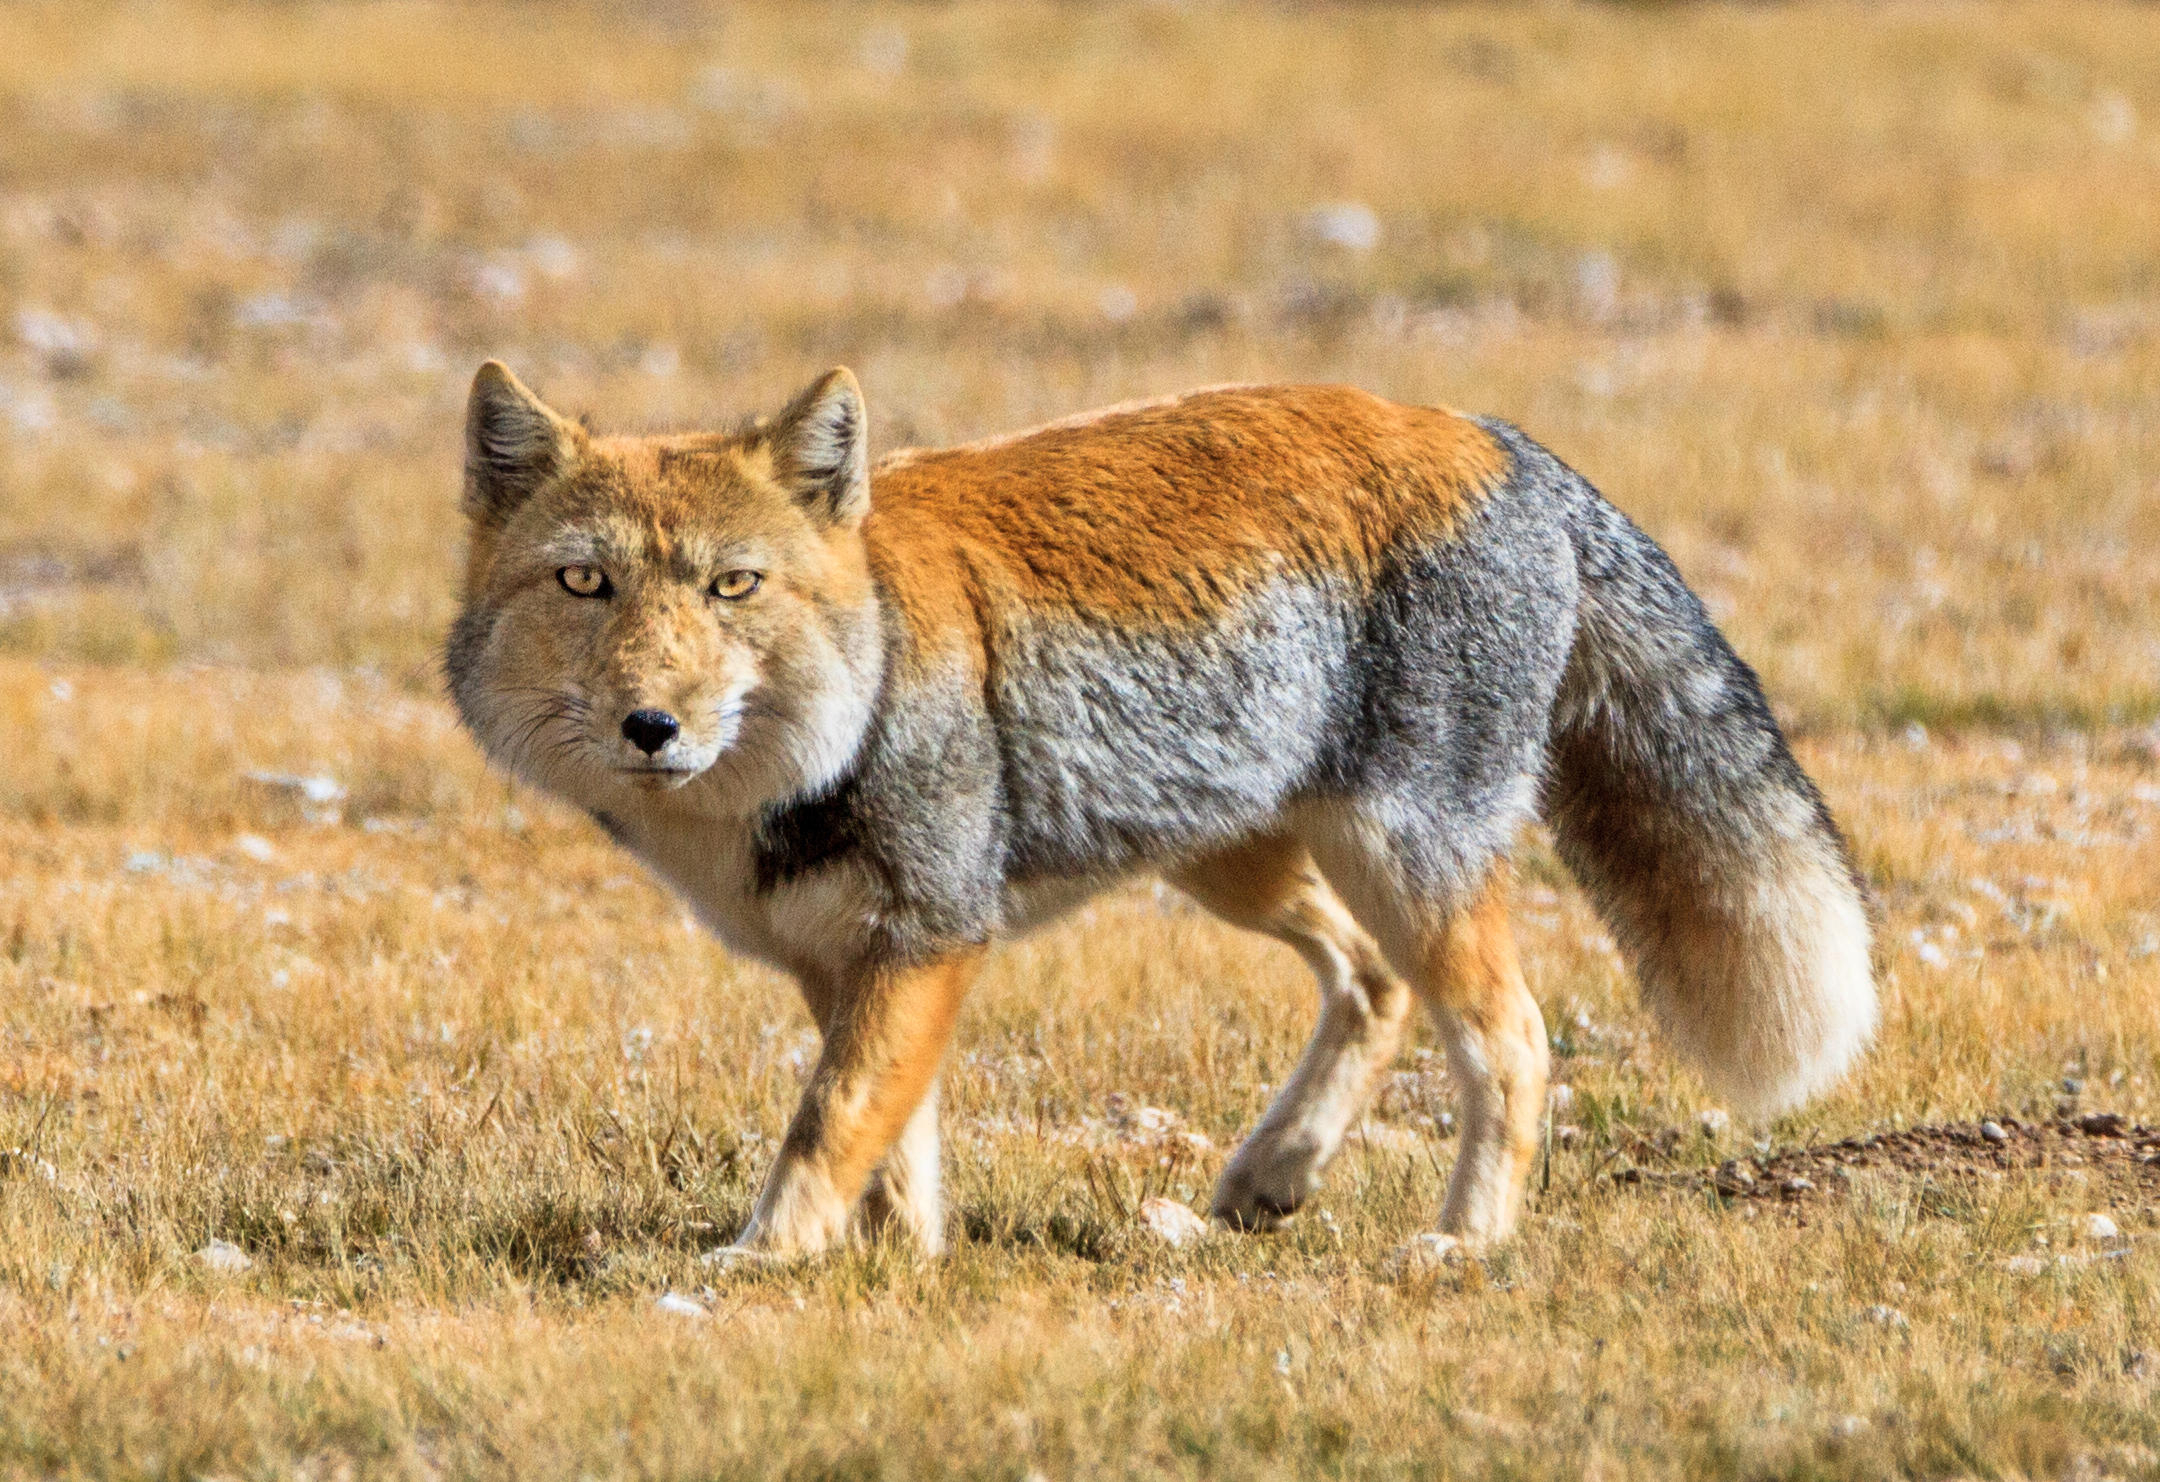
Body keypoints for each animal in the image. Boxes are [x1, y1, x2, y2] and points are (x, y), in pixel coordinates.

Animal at [446, 361, 1876, 1262]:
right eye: (586, 584)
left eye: (732, 588)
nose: (653, 725)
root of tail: (1480, 427)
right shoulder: (841, 959)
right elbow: (894, 1145)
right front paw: (898, 1270)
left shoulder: (930, 936)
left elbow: (831, 1122)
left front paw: (764, 1263)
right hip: (1240, 863)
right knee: (1369, 986)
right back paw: (1273, 1173)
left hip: (1397, 863)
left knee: (1512, 1041)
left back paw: (1465, 1242)